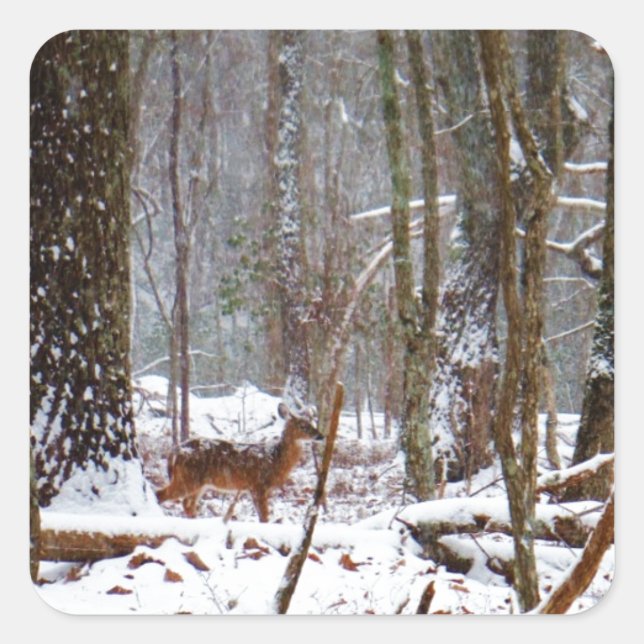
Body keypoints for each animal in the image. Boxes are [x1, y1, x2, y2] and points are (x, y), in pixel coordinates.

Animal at [155, 402, 323, 522]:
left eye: (313, 423)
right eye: (303, 426)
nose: (321, 436)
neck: (275, 457)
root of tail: (176, 450)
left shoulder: (252, 488)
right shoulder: (258, 485)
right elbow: (264, 517)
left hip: (199, 483)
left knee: (187, 504)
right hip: (188, 479)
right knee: (161, 494)